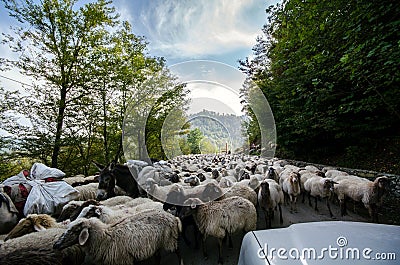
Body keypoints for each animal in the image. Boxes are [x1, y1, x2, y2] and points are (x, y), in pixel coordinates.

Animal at [53, 209, 184, 262]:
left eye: (74, 230)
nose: (55, 245)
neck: (104, 238)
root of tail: (173, 217)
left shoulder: (122, 259)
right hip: (158, 244)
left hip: (169, 241)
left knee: (177, 253)